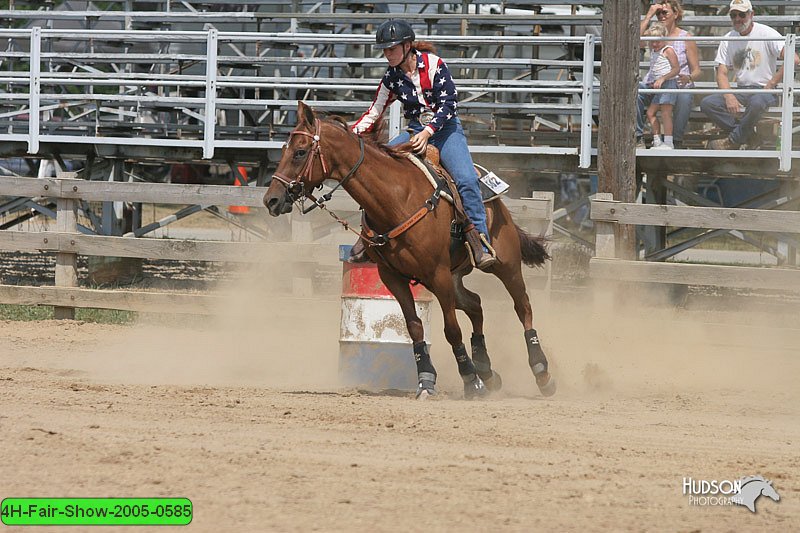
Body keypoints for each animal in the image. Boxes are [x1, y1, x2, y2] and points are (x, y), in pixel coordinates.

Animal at [266, 102, 552, 396]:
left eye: (300, 152)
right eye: (284, 149)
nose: (271, 200)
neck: (397, 198)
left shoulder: (438, 274)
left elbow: (451, 330)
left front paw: (470, 380)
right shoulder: (393, 276)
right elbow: (414, 327)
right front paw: (427, 378)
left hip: (505, 265)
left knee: (522, 306)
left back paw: (540, 371)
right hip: (454, 277)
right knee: (475, 305)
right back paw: (486, 369)